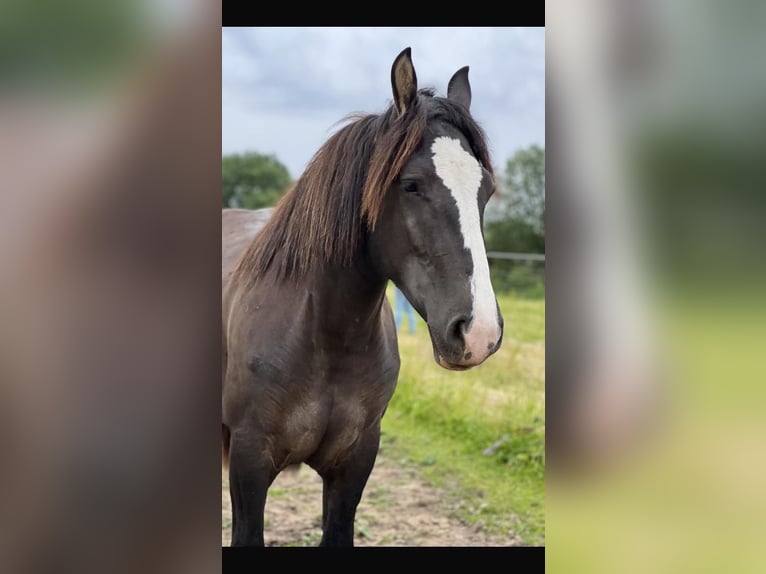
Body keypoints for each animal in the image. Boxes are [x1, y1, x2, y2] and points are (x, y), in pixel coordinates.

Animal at [222, 48, 508, 548]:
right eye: (411, 184)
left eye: (486, 190)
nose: (479, 333)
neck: (324, 335)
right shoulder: (248, 467)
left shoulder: (353, 466)